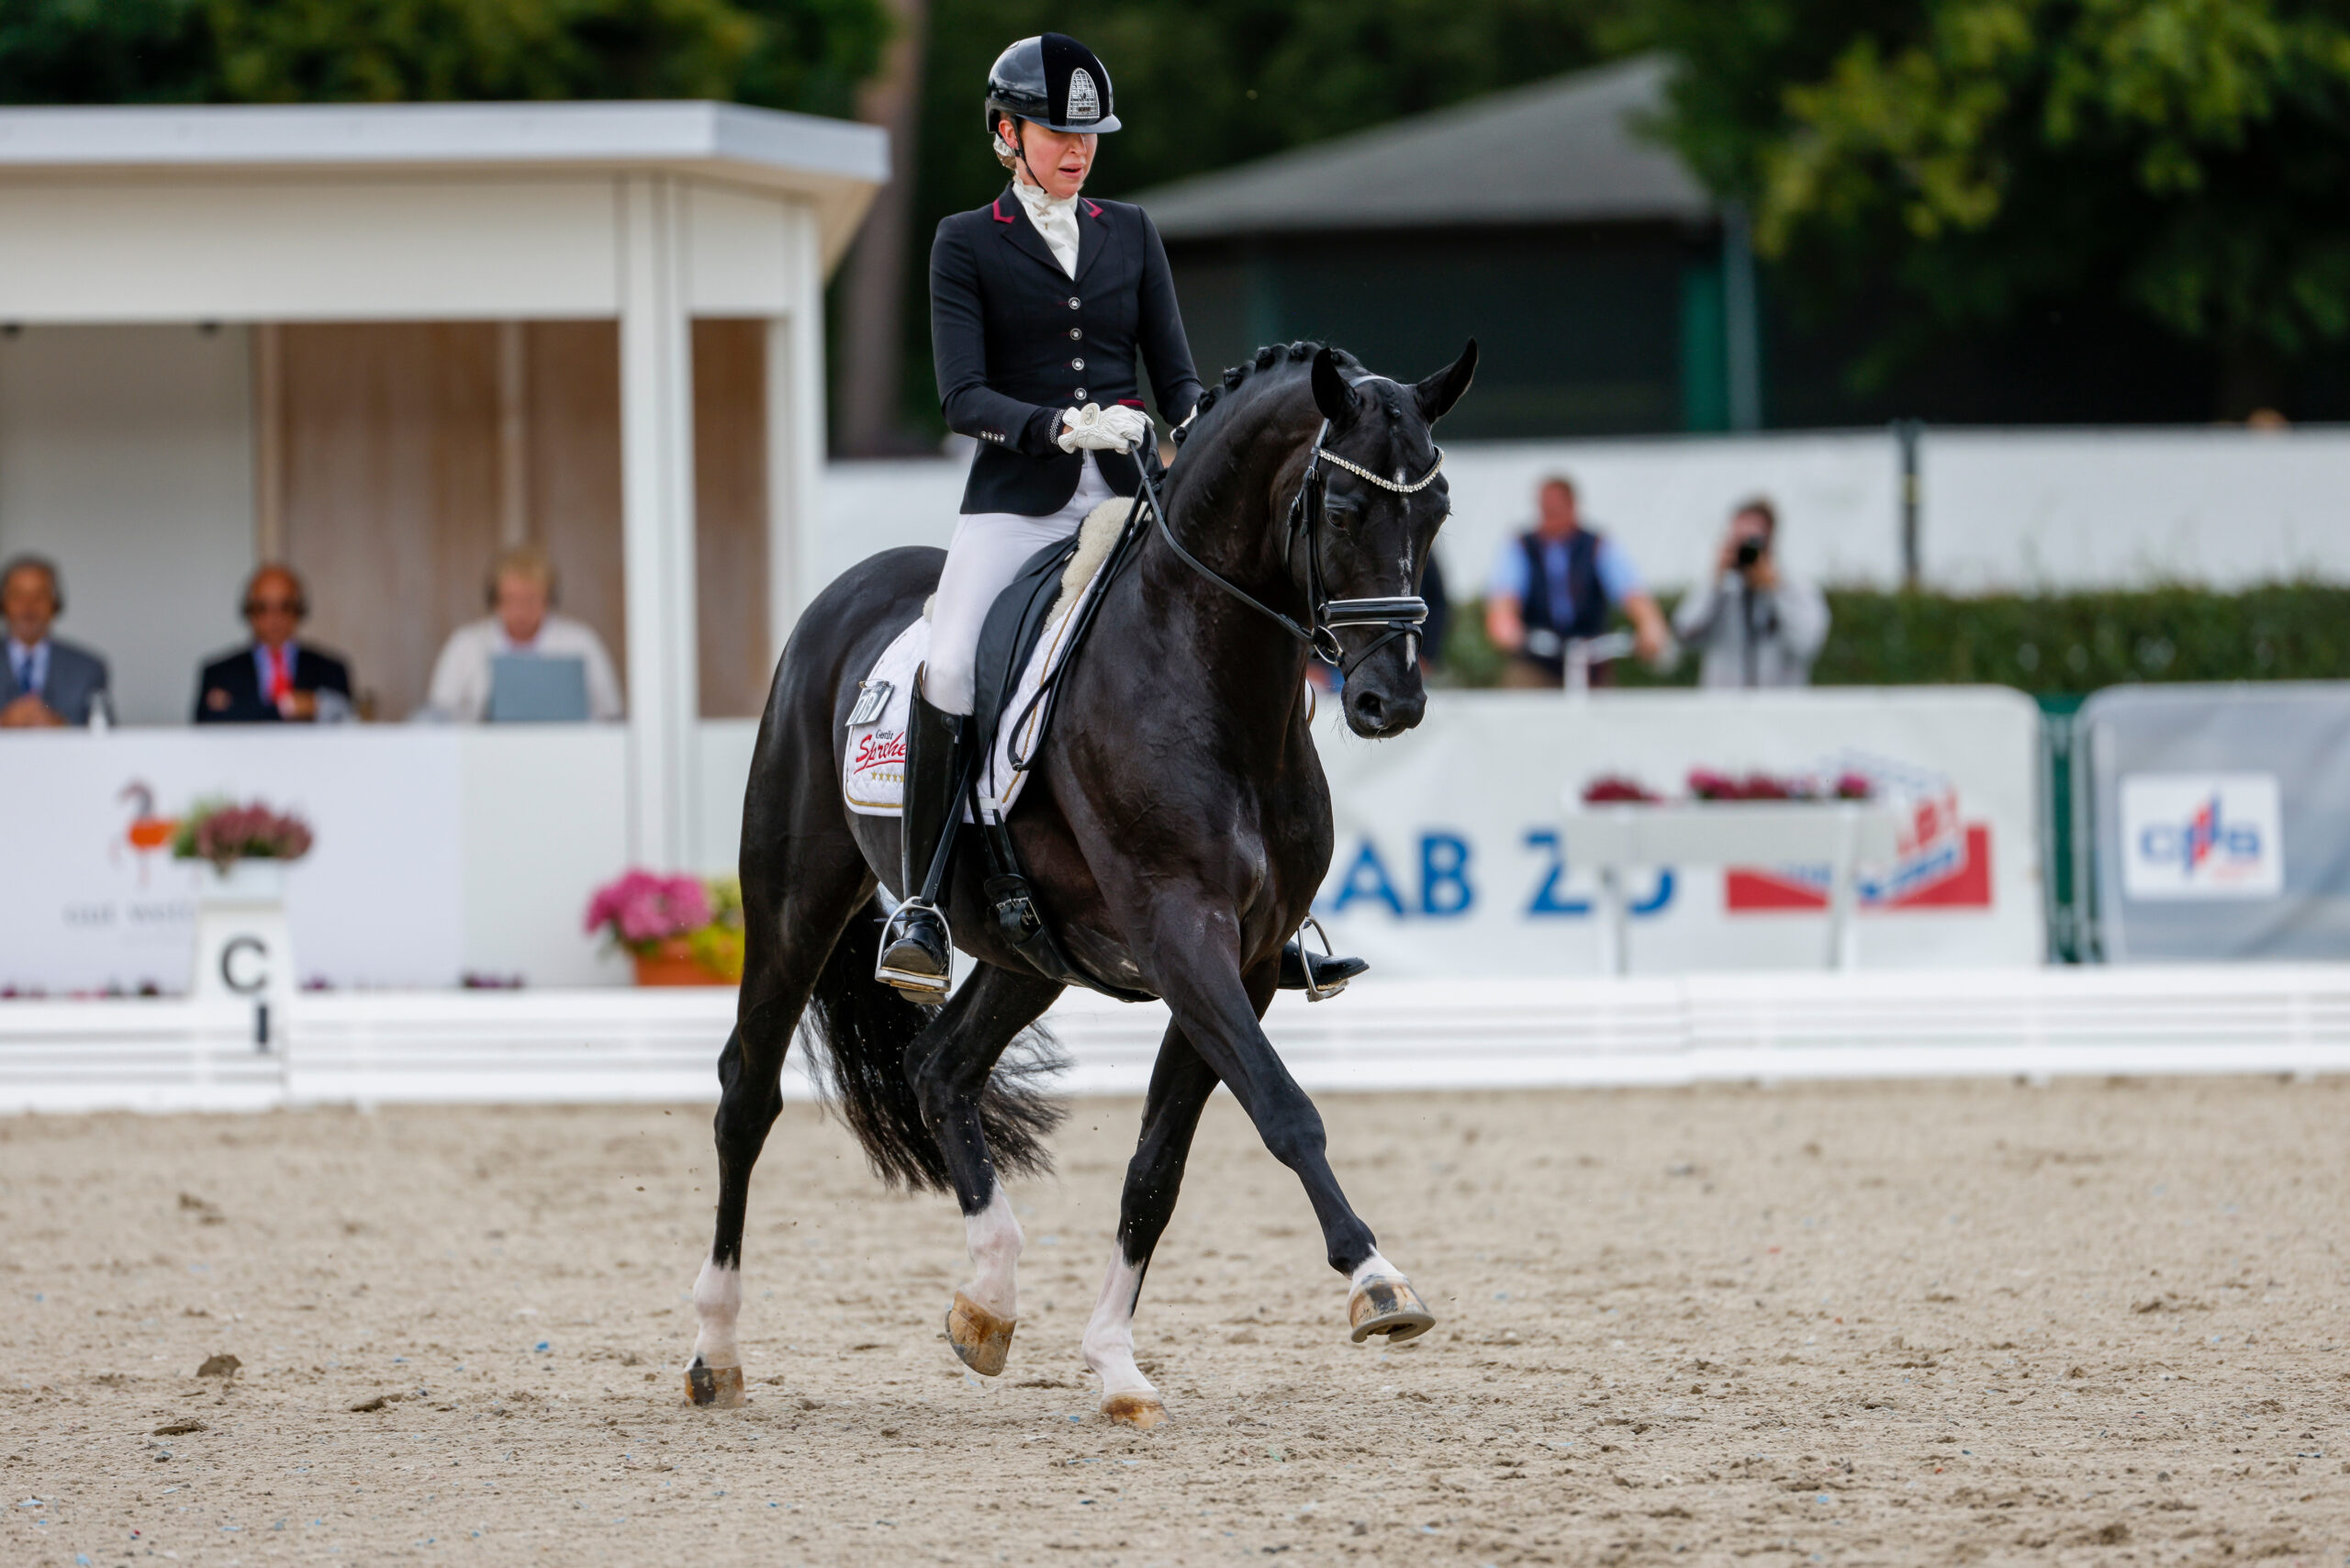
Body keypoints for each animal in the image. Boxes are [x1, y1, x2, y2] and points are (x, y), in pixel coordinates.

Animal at [685, 338, 1477, 1426]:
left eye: (1436, 508)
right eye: (1347, 510)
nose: (1389, 703)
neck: (1210, 678)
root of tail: (847, 593)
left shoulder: (1246, 962)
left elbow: (1157, 1168)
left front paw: (1114, 1363)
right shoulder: (1180, 936)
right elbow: (1284, 1110)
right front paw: (1378, 1281)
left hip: (1026, 950)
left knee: (939, 1066)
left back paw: (987, 1300)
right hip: (791, 899)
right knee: (746, 1095)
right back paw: (714, 1351)